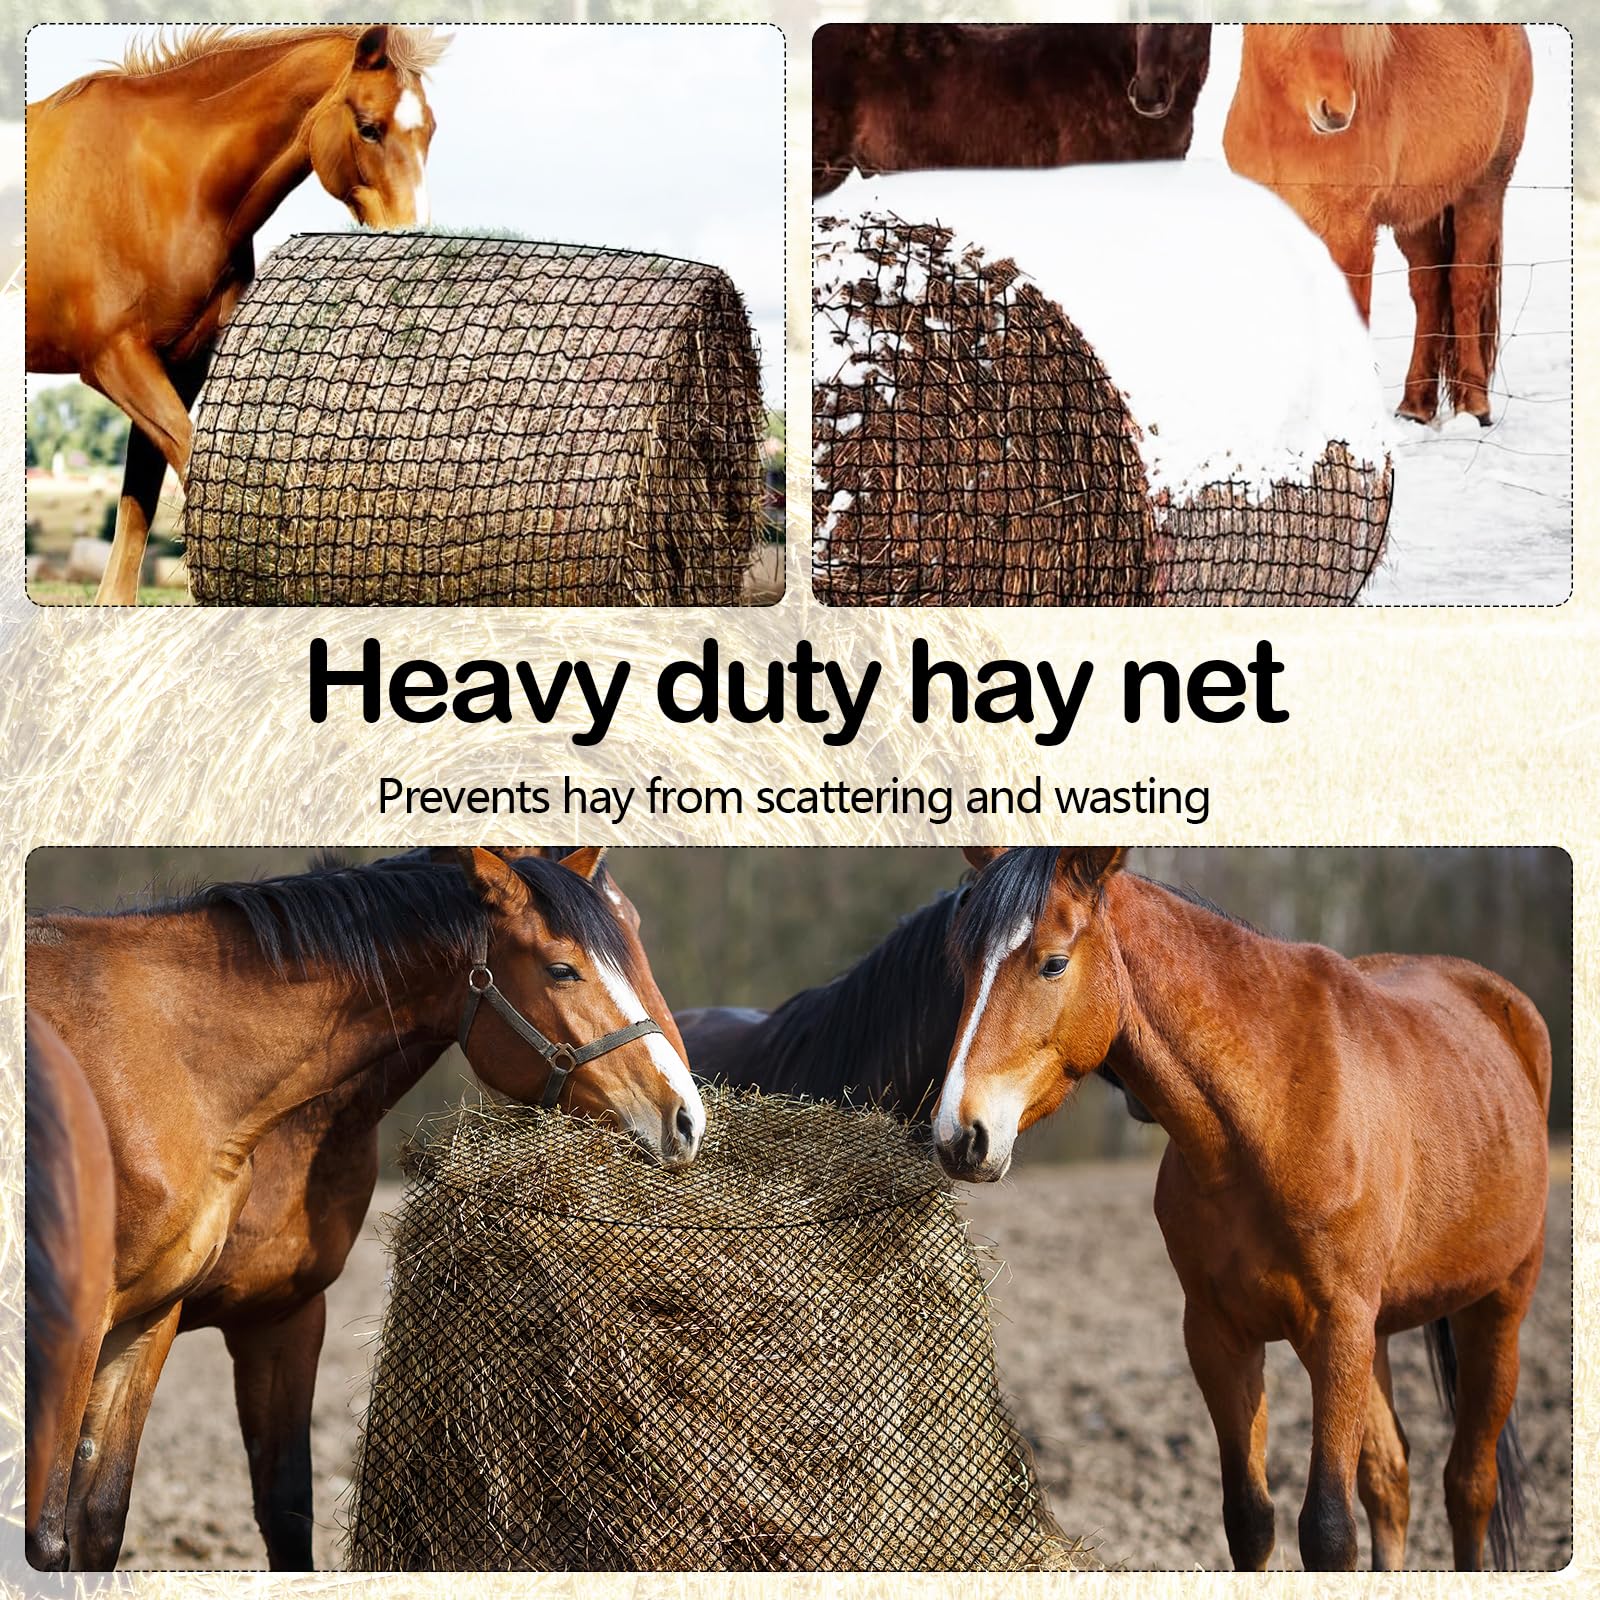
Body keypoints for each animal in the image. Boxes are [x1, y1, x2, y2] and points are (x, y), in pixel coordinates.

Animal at [24, 846, 703, 1571]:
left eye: (632, 925)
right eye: (562, 969)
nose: (684, 1115)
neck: (175, 1060)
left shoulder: (236, 1318)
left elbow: (174, 1517)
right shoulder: (79, 1330)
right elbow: (47, 1537)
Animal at [25, 25, 445, 604]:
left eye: (429, 130)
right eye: (369, 128)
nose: (413, 239)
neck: (167, 185)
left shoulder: (180, 366)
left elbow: (138, 508)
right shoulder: (115, 361)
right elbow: (195, 464)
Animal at [933, 846, 1551, 1572]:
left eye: (1052, 963)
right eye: (962, 963)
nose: (959, 1135)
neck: (1270, 1114)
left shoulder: (1336, 1332)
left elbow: (1329, 1529)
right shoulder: (1219, 1336)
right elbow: (1250, 1520)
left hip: (1496, 1307)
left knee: (1468, 1485)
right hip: (1378, 1333)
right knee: (1392, 1482)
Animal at [1223, 25, 1532, 426]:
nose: (1337, 111)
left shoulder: (1350, 232)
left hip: (1483, 189)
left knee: (1464, 285)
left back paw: (1474, 405)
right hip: (1417, 214)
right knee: (1429, 289)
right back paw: (1415, 406)